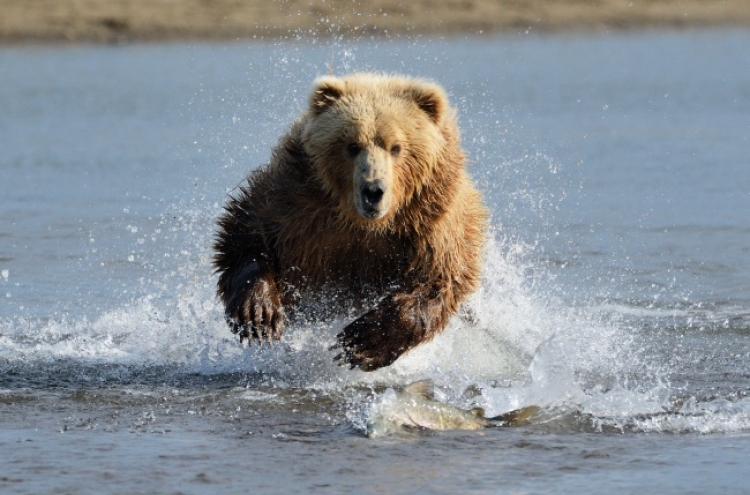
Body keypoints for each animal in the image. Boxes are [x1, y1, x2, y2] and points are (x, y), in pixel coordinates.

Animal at [214, 71, 490, 370]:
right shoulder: (297, 202)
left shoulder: (430, 222)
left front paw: (360, 343)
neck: (364, 223)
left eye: (396, 147)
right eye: (352, 145)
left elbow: (438, 279)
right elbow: (248, 231)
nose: (373, 190)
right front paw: (259, 314)